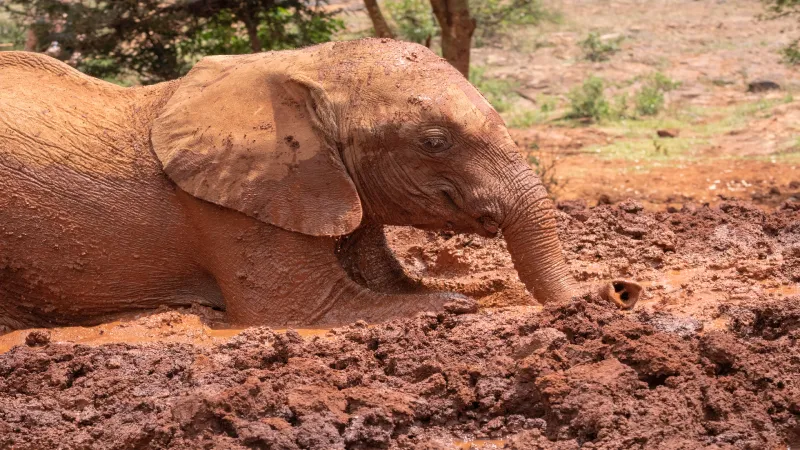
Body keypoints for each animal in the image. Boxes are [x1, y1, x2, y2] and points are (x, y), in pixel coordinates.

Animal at [0, 39, 640, 330]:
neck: (305, 67)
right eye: (435, 142)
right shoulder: (234, 204)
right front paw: (452, 305)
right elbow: (306, 309)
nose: (622, 291)